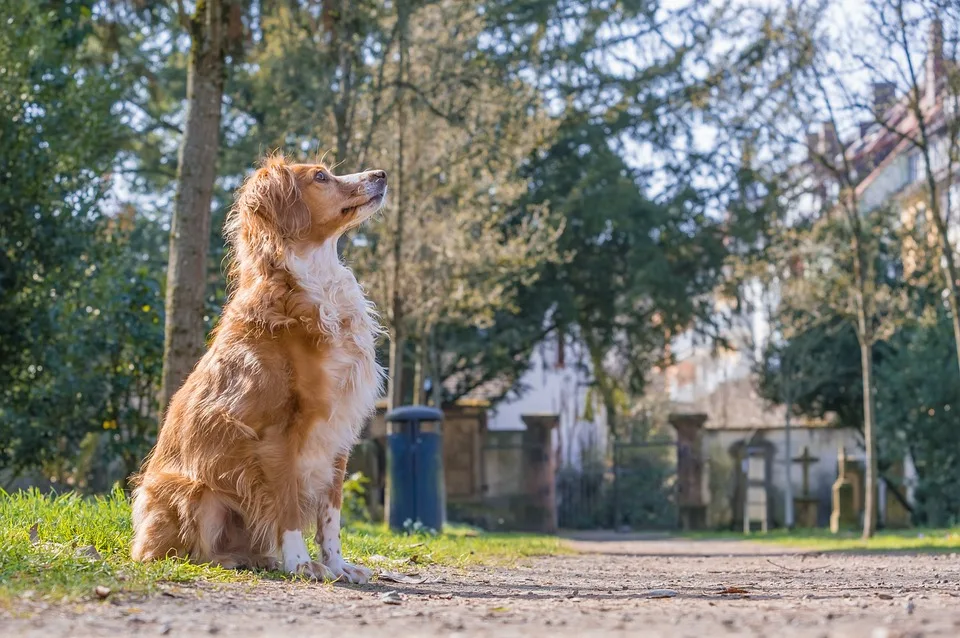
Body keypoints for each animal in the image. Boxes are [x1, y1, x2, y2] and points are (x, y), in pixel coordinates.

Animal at [130, 155, 386, 584]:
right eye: (321, 177)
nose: (381, 174)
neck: (314, 282)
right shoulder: (275, 434)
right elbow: (287, 507)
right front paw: (300, 563)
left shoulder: (338, 431)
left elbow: (331, 514)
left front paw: (336, 565)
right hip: (195, 492)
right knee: (183, 554)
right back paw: (238, 561)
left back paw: (262, 559)